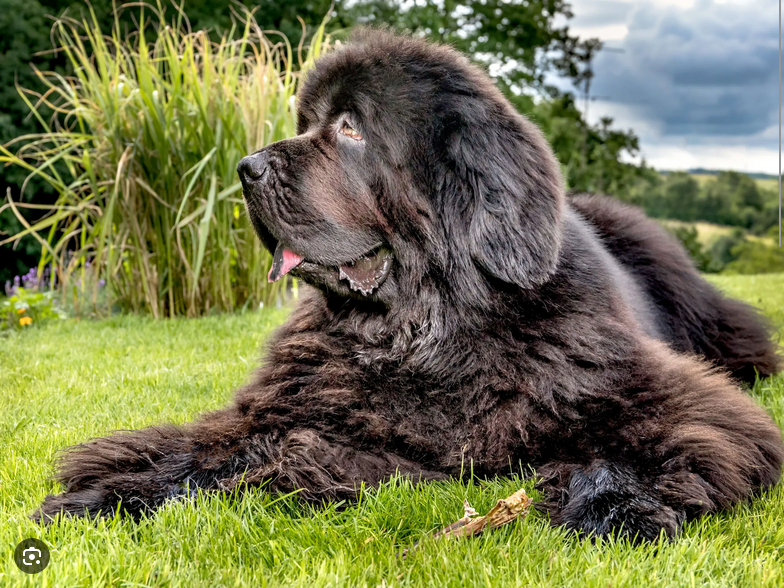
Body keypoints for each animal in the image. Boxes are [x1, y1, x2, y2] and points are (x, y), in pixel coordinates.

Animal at [36, 29, 784, 540]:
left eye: (350, 128)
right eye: (308, 123)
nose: (246, 167)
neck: (425, 331)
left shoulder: (661, 398)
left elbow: (644, 443)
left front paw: (614, 505)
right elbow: (210, 449)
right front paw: (108, 494)